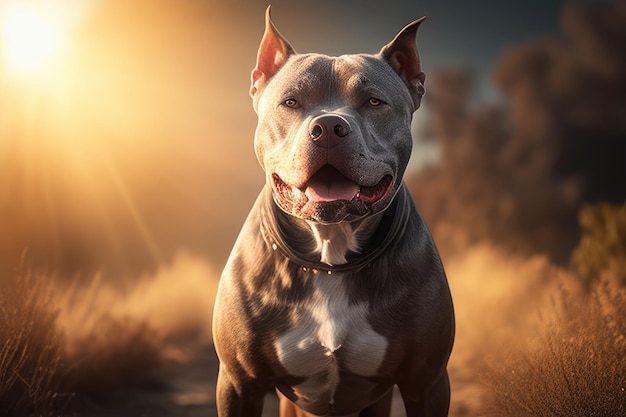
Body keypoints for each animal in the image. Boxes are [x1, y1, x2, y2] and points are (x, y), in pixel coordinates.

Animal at [211, 6, 454, 416]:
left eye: (374, 102)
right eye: (291, 102)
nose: (327, 127)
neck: (330, 256)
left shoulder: (427, 382)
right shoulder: (238, 383)